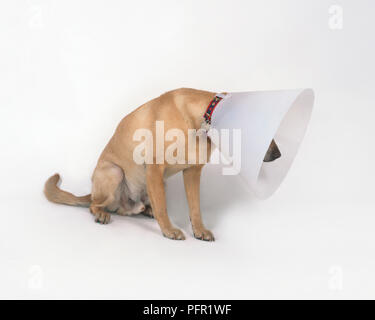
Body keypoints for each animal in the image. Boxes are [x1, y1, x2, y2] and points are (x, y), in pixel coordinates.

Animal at [44, 87, 280, 240]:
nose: (279, 155)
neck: (200, 120)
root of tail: (92, 192)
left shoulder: (192, 172)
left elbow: (195, 207)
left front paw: (199, 230)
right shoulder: (155, 169)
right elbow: (164, 208)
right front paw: (169, 230)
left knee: (131, 208)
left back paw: (144, 209)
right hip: (114, 172)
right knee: (96, 205)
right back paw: (102, 213)